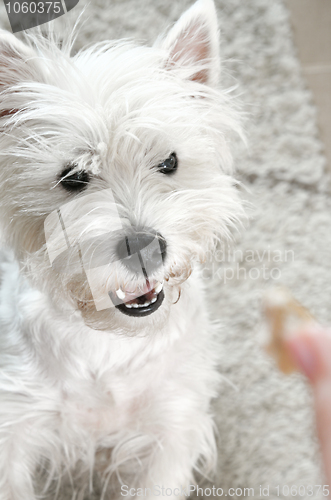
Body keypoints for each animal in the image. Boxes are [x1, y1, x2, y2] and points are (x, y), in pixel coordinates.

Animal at [0, 1, 244, 498]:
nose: (144, 248)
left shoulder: (171, 428)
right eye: (72, 177)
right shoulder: (13, 425)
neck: (108, 342)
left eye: (168, 162)